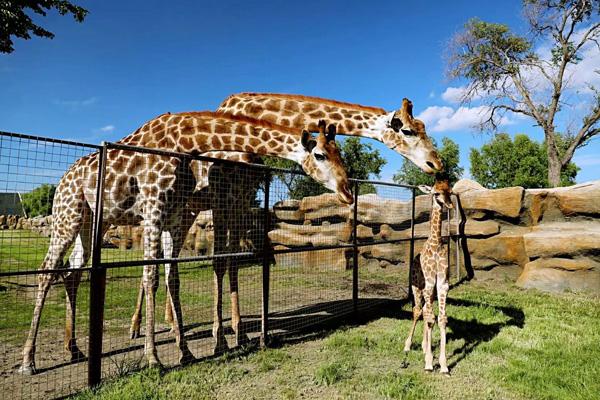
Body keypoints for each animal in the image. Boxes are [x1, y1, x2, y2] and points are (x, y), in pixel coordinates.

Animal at [18, 113, 352, 376]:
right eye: (321, 154)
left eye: (339, 153)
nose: (348, 191)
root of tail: (63, 178)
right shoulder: (182, 207)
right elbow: (172, 272)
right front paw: (163, 356)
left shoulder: (187, 214)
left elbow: (180, 275)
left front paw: (195, 348)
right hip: (69, 216)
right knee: (47, 271)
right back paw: (29, 361)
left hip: (94, 223)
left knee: (72, 273)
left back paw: (75, 348)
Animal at [404, 177, 454, 374]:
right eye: (436, 193)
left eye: (450, 191)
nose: (449, 204)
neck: (436, 244)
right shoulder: (429, 283)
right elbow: (430, 318)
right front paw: (428, 363)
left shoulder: (442, 284)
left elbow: (441, 319)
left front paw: (443, 365)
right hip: (417, 288)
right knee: (418, 311)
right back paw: (408, 346)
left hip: (429, 292)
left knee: (426, 312)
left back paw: (426, 346)